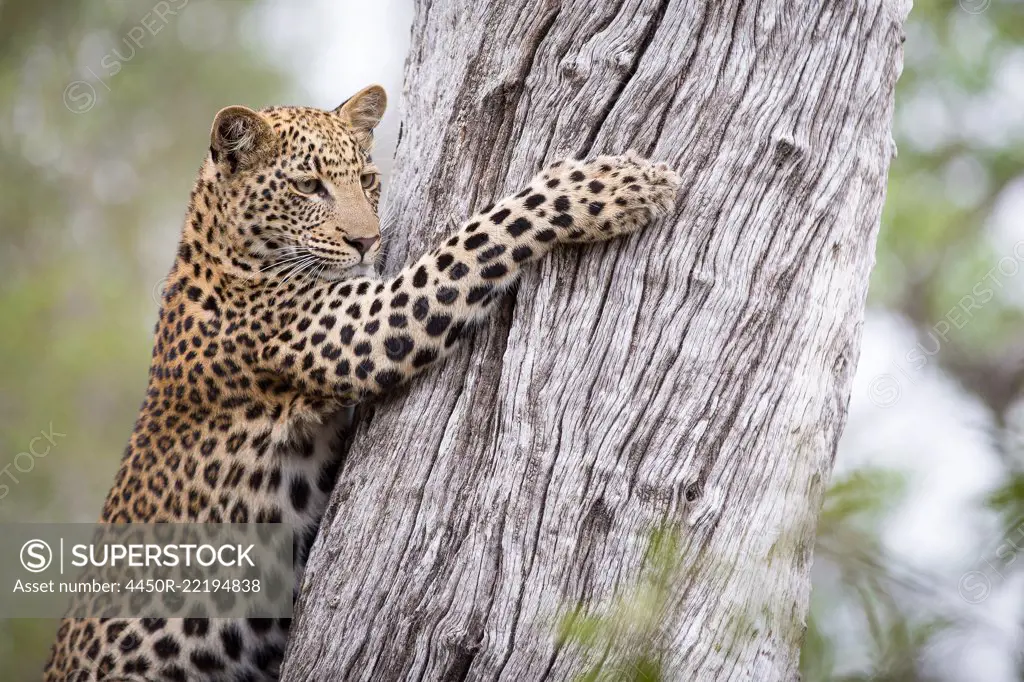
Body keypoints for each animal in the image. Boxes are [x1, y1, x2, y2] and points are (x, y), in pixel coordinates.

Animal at [41, 84, 679, 679]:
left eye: (369, 180)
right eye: (308, 187)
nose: (368, 241)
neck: (222, 246)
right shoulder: (370, 323)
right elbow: (478, 237)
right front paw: (614, 184)